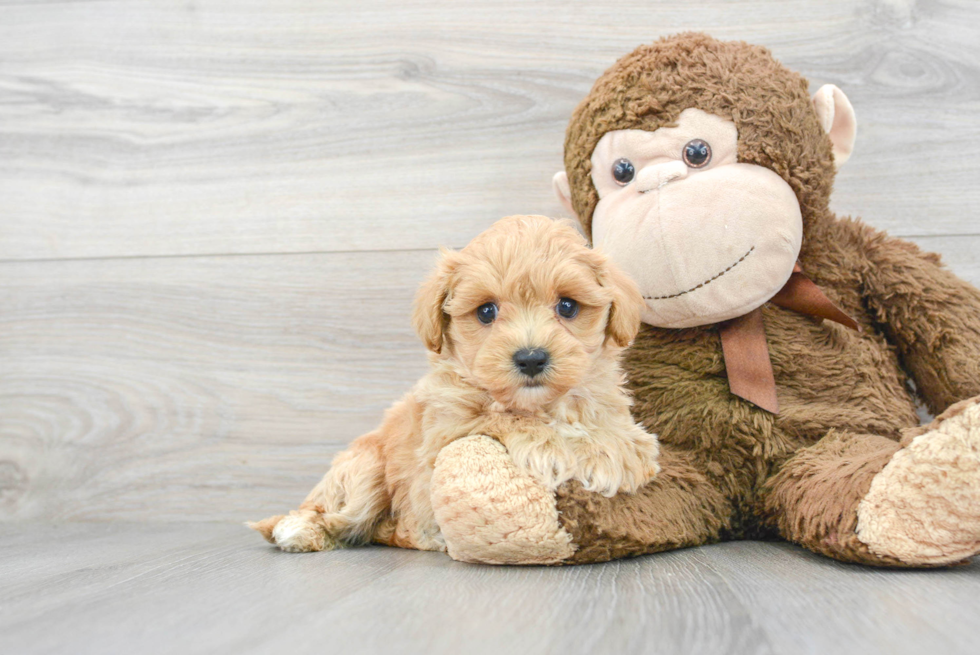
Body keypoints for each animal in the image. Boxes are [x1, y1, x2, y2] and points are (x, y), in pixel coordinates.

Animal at [249, 215, 660, 552]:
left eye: (568, 306)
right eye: (486, 311)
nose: (531, 358)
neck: (542, 402)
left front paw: (620, 444)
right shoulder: (445, 434)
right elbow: (504, 417)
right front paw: (566, 446)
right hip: (364, 470)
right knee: (331, 514)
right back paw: (299, 530)